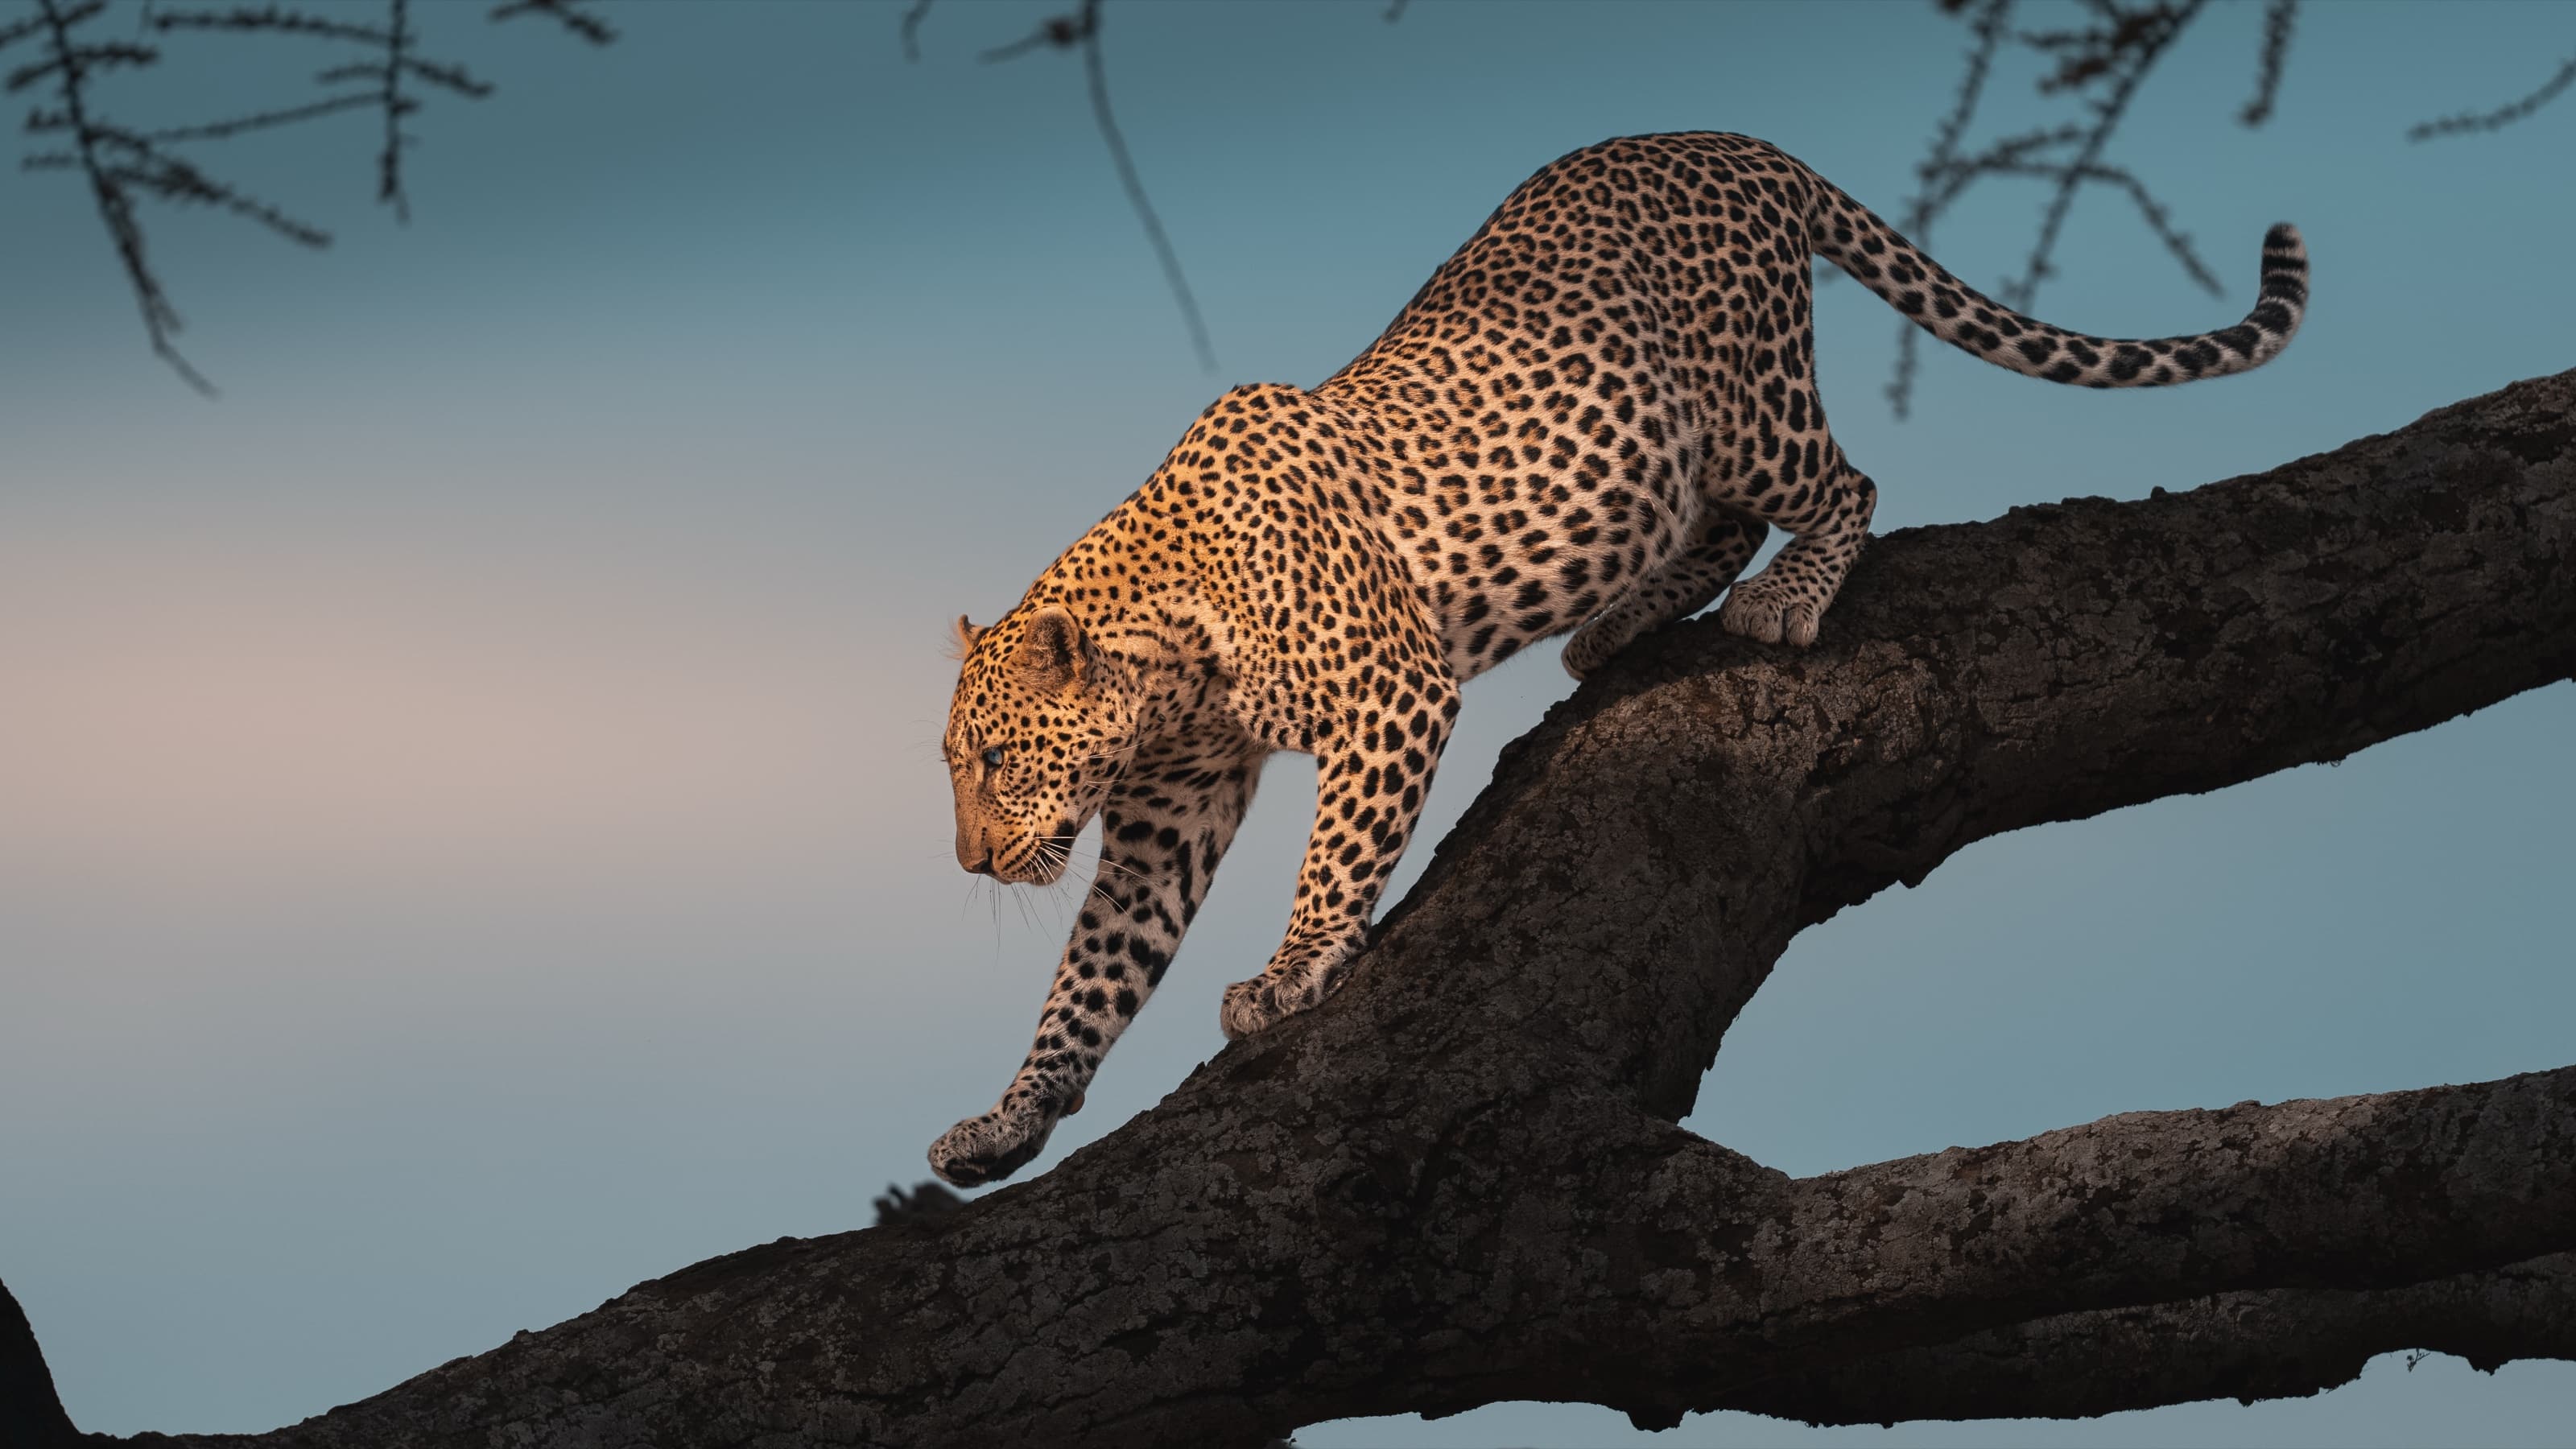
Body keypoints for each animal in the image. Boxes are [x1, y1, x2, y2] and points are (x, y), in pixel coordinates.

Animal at [928, 131, 2306, 1186]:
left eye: (992, 760)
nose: (972, 861)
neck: (1167, 658)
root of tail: (1730, 142)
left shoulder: (1388, 699)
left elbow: (1334, 856)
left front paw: (1294, 969)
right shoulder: (1172, 806)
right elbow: (1094, 970)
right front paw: (1006, 1120)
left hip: (1745, 406)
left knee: (1840, 485)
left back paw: (1782, 602)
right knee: (1721, 519)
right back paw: (1622, 621)